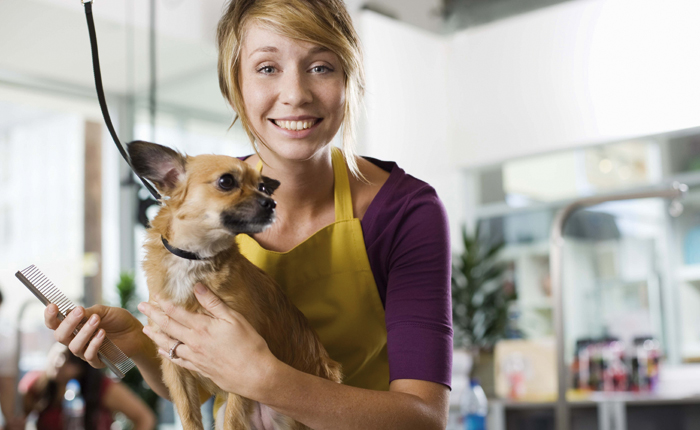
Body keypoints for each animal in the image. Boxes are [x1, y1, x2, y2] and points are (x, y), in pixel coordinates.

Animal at [129, 142, 344, 430]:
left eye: (263, 187)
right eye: (226, 181)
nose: (272, 203)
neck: (194, 259)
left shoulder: (236, 371)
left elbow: (233, 419)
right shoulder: (174, 366)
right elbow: (189, 417)